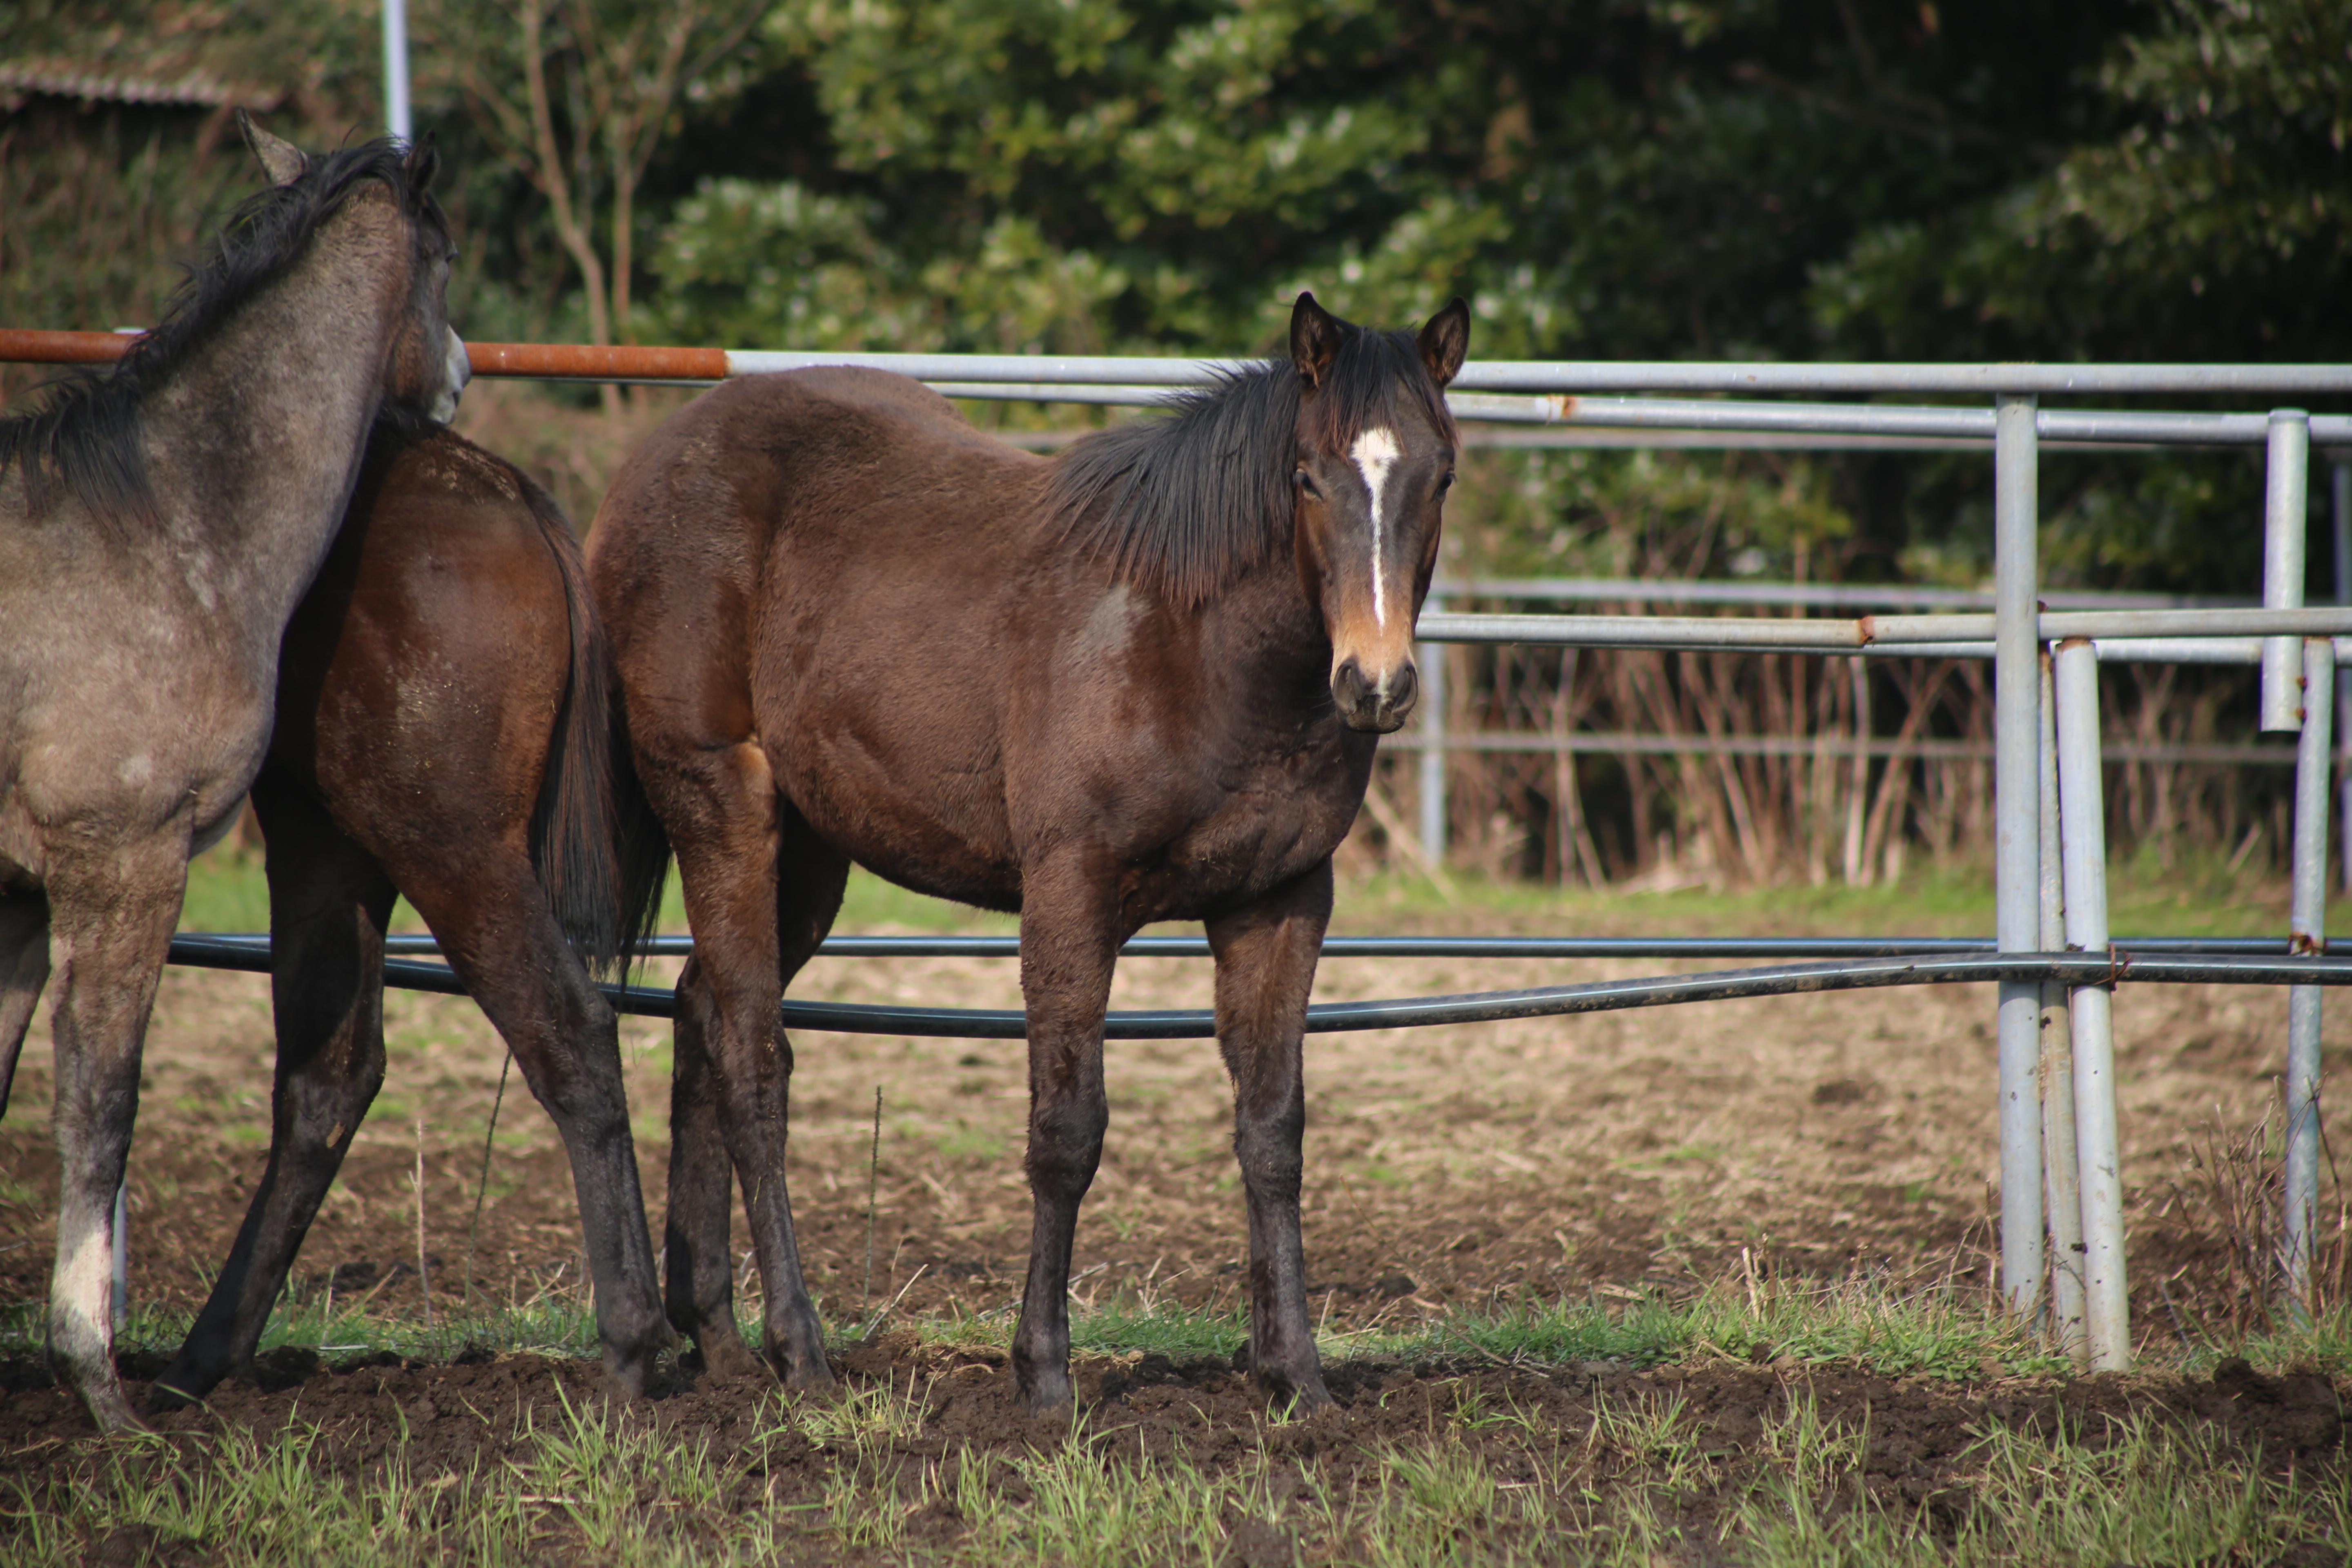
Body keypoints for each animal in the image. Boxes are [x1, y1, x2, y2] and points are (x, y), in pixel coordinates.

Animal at [0, 116, 472, 1429]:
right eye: (444, 258)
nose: (460, 373)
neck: (170, 523)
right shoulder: (123, 860)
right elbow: (100, 1102)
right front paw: (98, 1380)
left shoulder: (16, 896)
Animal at [143, 416, 673, 1410]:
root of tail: (492, 483)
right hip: (330, 842)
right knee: (330, 1078)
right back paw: (203, 1360)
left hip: (443, 844)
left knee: (568, 1031)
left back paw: (631, 1344)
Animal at [588, 294, 1468, 1410]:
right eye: (1309, 478)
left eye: (1439, 474)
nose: (1375, 684)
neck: (1197, 648)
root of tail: (646, 471)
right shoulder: (1070, 892)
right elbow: (1066, 1130)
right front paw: (1043, 1372)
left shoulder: (1278, 902)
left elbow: (1272, 1134)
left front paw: (1296, 1377)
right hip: (721, 803)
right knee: (751, 1056)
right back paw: (800, 1351)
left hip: (810, 851)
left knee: (702, 1012)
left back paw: (720, 1339)